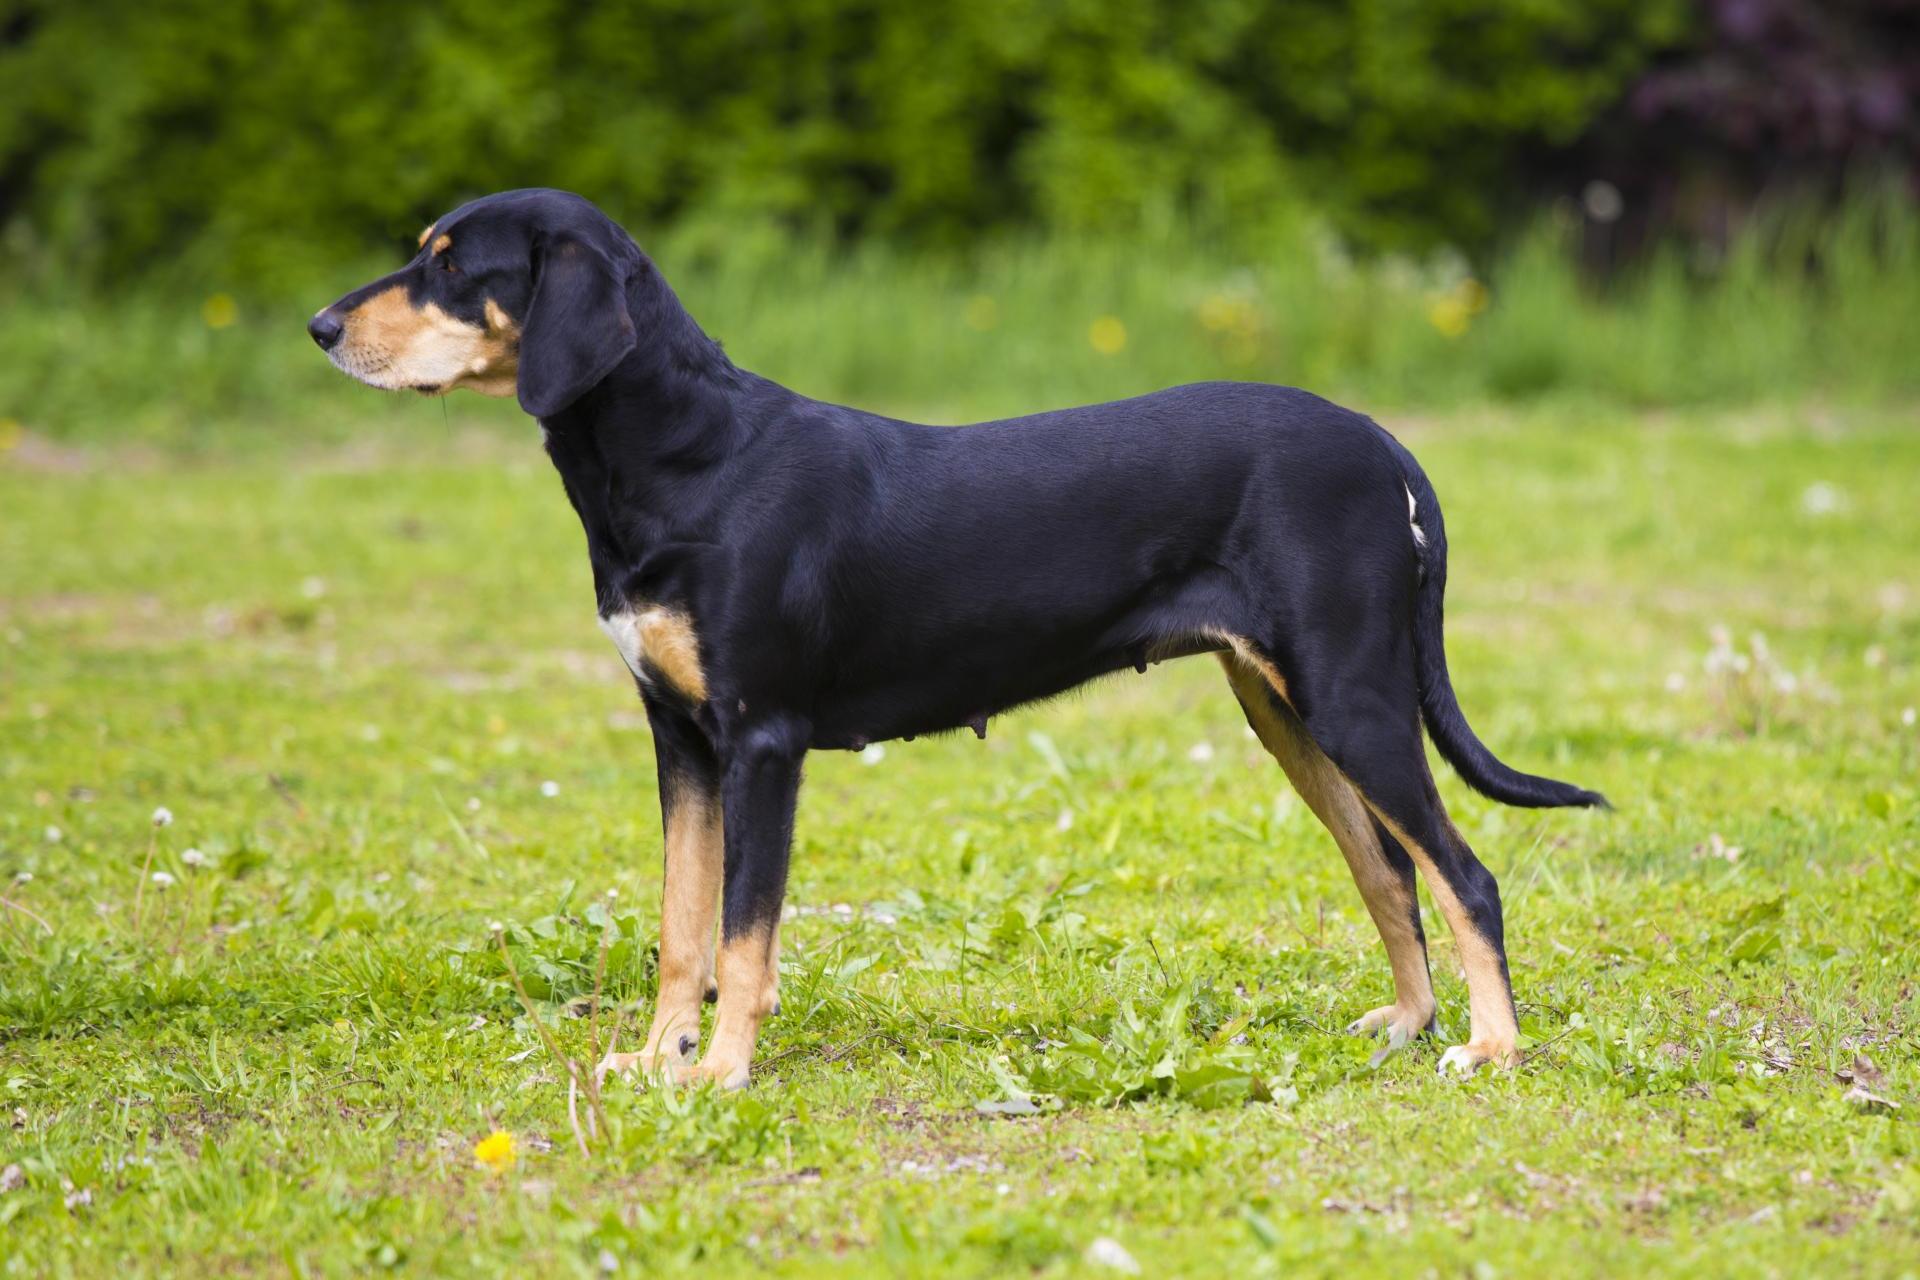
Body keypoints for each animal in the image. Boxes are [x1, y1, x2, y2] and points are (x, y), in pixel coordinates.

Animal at [311, 189, 1605, 1090]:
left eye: (449, 266)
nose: (320, 326)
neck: (689, 457)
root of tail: (1381, 442)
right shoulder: (680, 739)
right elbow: (683, 927)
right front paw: (658, 1056)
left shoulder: (763, 741)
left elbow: (743, 931)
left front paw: (720, 1070)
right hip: (1285, 707)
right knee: (1391, 865)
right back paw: (1413, 1022)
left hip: (1353, 697)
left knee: (1468, 872)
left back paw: (1490, 1047)